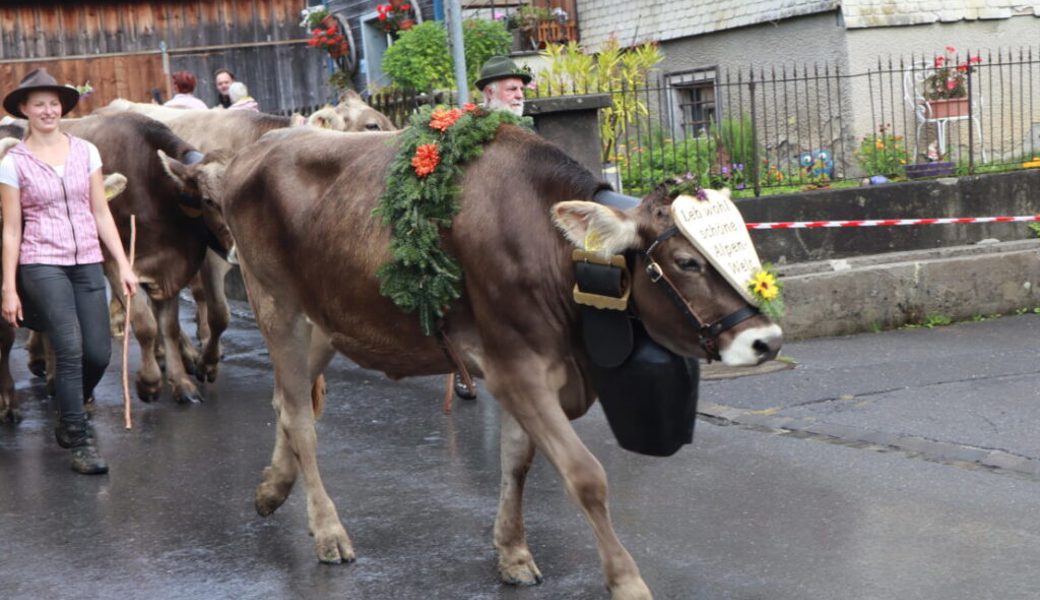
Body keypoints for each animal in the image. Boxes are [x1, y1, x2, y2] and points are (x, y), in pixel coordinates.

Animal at [195, 123, 782, 594]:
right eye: (686, 262)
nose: (768, 340)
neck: (549, 249)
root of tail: (256, 148)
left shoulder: (529, 370)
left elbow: (515, 462)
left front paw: (513, 553)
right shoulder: (517, 367)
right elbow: (585, 476)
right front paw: (627, 582)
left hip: (327, 323)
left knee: (286, 403)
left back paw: (272, 490)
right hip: (277, 306)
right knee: (300, 416)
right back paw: (328, 532)